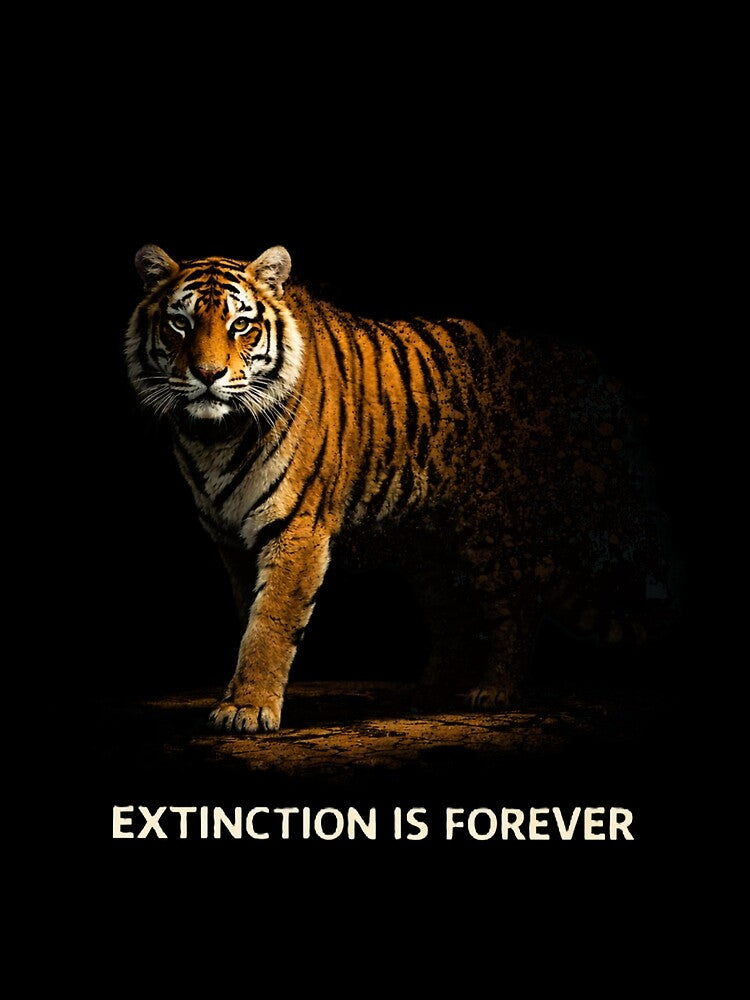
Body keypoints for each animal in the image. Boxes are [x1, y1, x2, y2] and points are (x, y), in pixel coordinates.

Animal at [126, 244, 675, 734]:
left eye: (240, 324)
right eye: (180, 323)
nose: (208, 375)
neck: (212, 437)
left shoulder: (295, 528)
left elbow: (270, 623)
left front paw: (247, 708)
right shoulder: (229, 538)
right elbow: (248, 615)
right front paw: (241, 698)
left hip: (492, 533)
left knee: (518, 607)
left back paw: (495, 690)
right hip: (428, 547)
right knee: (452, 617)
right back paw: (429, 689)